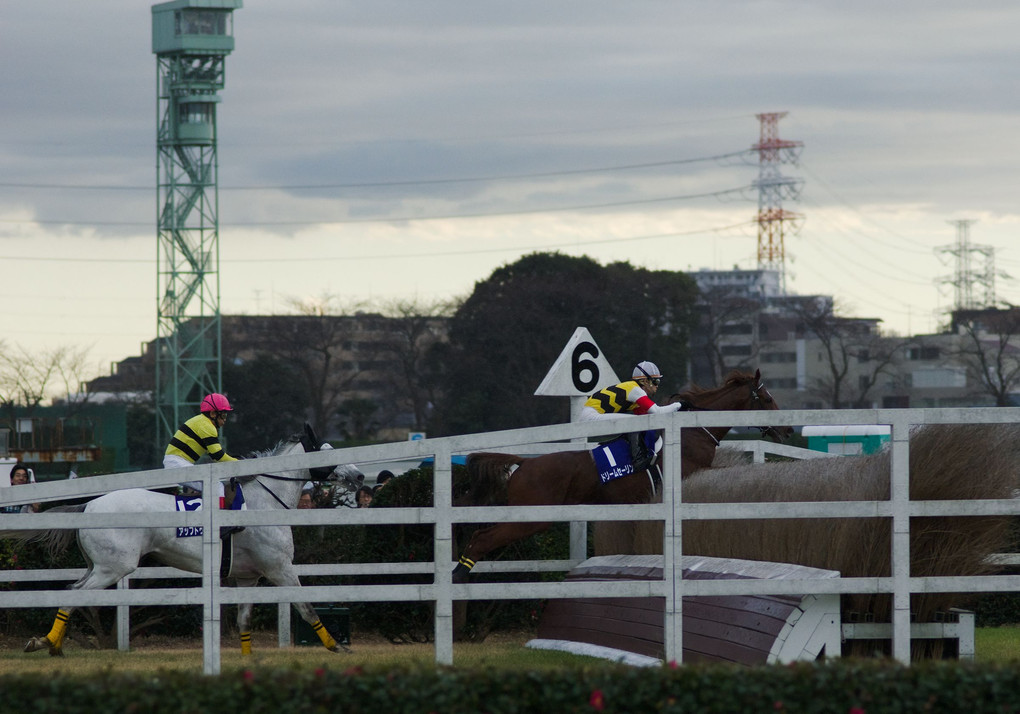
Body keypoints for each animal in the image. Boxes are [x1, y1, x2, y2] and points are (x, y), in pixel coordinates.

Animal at [5, 424, 365, 656]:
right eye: (328, 452)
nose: (360, 476)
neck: (265, 501)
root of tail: (89, 505)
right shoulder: (280, 568)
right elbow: (307, 608)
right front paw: (336, 645)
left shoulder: (248, 577)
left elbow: (244, 619)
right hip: (114, 567)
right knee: (75, 595)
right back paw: (47, 643)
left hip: (97, 565)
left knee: (72, 590)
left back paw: (51, 644)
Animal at [450, 371, 783, 583]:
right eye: (767, 399)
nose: (786, 429)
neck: (691, 433)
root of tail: (525, 463)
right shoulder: (690, 474)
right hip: (533, 516)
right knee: (481, 538)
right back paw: (459, 574)